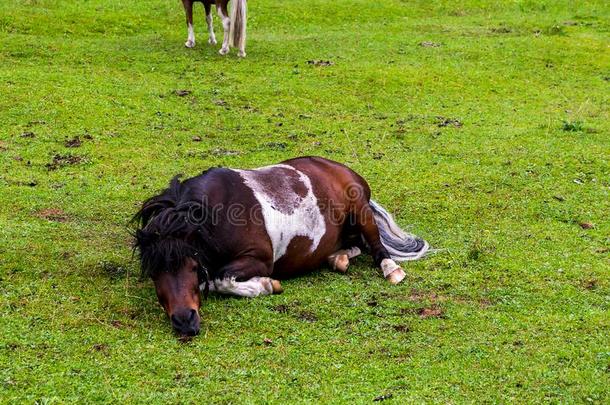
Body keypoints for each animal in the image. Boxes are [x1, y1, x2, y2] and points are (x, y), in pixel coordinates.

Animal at [133, 156, 428, 336]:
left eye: (194, 266)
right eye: (153, 272)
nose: (185, 322)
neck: (218, 214)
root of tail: (343, 169)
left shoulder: (260, 260)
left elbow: (221, 278)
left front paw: (267, 285)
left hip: (360, 210)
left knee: (376, 247)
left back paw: (391, 270)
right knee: (356, 246)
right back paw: (338, 259)